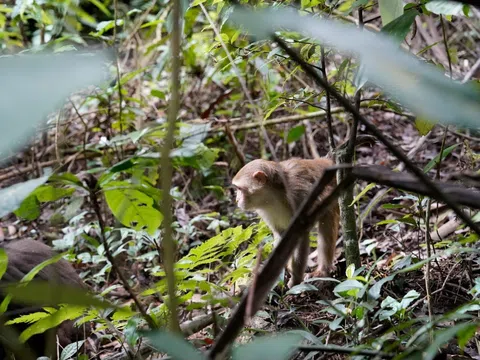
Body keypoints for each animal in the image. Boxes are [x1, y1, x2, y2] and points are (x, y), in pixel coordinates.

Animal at [232, 157, 338, 286]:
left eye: (239, 189)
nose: (237, 200)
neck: (273, 196)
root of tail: (323, 161)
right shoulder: (265, 210)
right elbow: (281, 235)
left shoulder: (298, 197)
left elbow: (300, 235)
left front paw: (295, 280)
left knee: (327, 221)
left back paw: (322, 271)